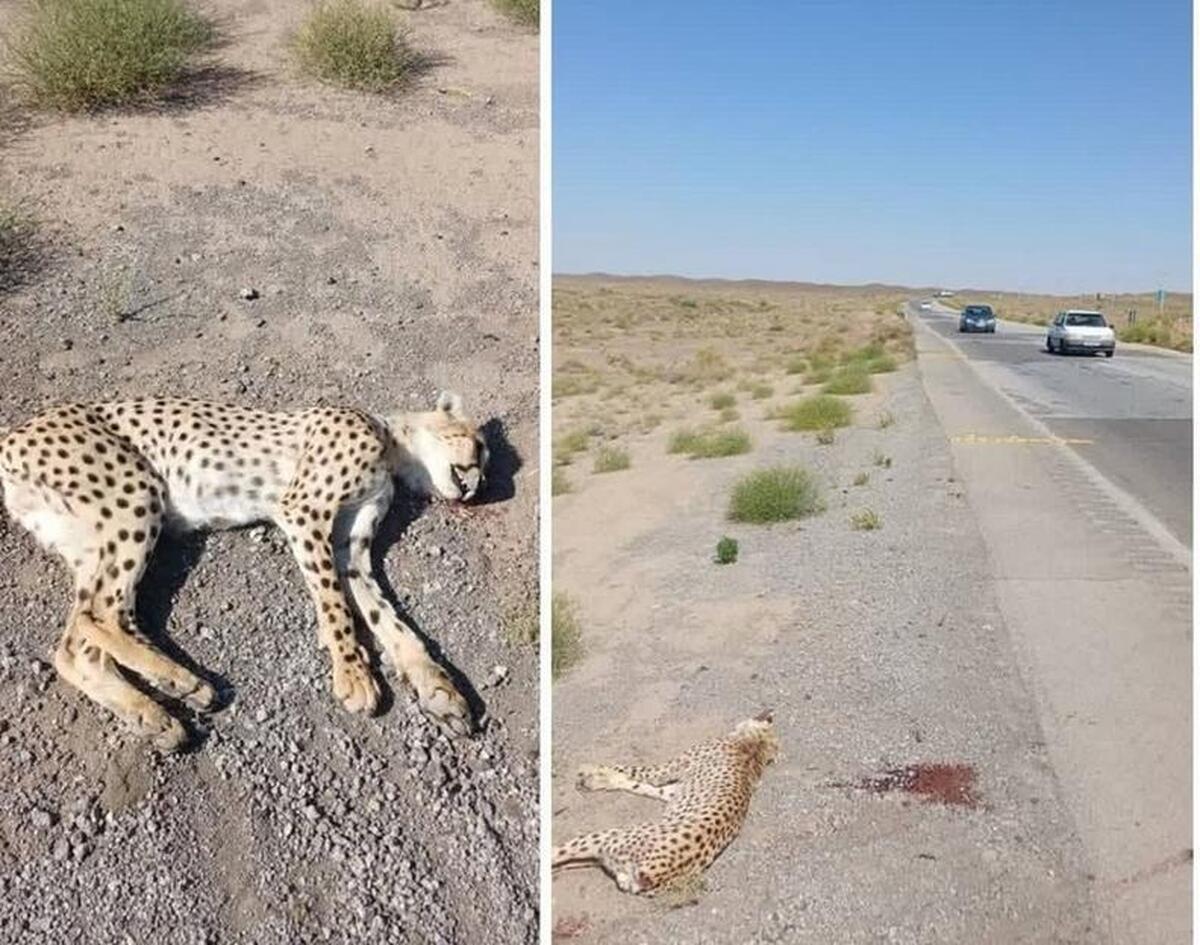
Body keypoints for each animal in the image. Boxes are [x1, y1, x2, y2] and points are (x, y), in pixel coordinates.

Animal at [0, 388, 489, 743]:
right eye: (479, 446)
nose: (477, 488)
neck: (393, 447)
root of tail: (16, 430)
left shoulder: (350, 548)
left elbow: (385, 616)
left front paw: (437, 687)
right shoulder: (301, 511)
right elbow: (334, 604)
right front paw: (353, 674)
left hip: (91, 538)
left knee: (74, 645)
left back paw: (152, 717)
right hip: (134, 493)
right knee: (98, 614)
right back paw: (184, 683)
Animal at [552, 714, 777, 892]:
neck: (755, 747)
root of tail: (653, 875)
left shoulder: (665, 770)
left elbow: (630, 771)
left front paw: (593, 772)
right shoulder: (672, 790)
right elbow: (640, 785)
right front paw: (598, 777)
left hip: (604, 838)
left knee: (556, 853)